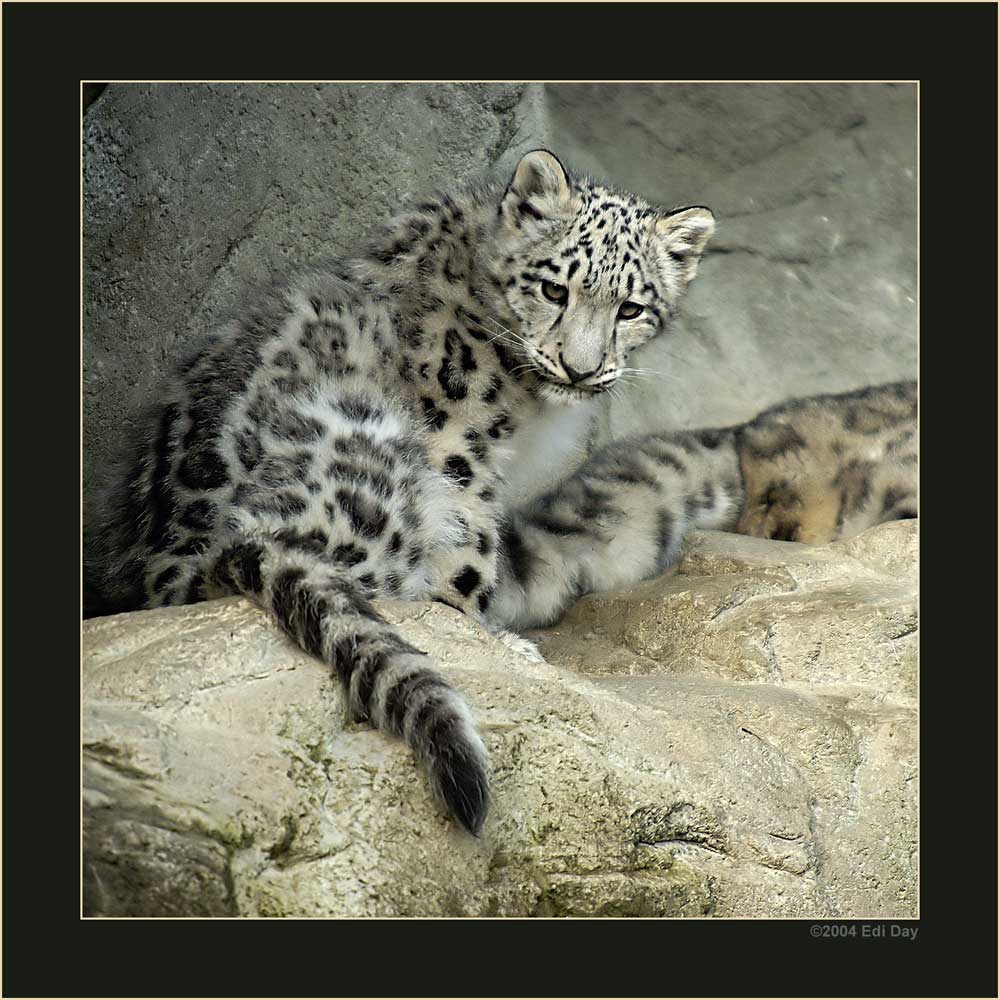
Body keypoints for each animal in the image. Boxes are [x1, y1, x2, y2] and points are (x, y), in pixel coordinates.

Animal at [90, 148, 916, 836]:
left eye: (631, 307)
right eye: (554, 286)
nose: (583, 367)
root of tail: (182, 564)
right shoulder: (460, 455)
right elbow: (465, 566)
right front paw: (498, 638)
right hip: (371, 472)